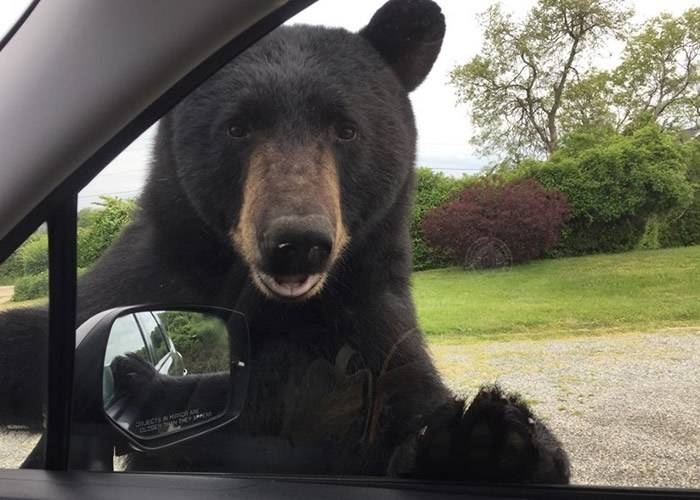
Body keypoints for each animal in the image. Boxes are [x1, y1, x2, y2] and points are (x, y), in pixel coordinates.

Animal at [0, 0, 568, 484]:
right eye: (236, 127)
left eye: (346, 129)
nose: (297, 241)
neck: (273, 307)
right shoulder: (144, 277)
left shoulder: (368, 320)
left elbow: (401, 402)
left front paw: (488, 442)